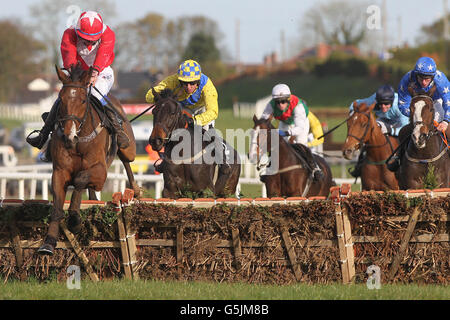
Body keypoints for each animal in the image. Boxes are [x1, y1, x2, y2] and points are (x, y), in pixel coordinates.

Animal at [38, 64, 140, 255]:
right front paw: (49, 242)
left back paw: (136, 189)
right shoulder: (59, 171)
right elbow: (57, 207)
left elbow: (80, 179)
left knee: (126, 160)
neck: (79, 141)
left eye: (83, 101)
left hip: (128, 148)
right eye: (61, 100)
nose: (69, 137)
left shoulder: (100, 172)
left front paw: (75, 221)